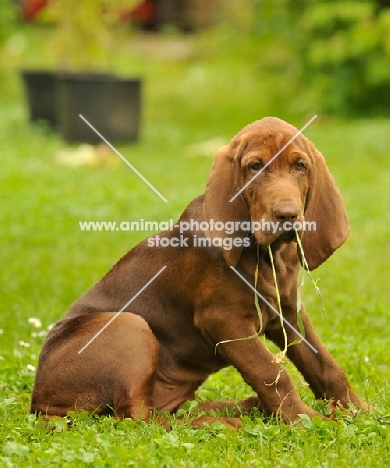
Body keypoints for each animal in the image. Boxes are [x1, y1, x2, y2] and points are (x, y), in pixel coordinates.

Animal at [31, 116, 368, 424]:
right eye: (255, 166)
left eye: (300, 166)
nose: (287, 215)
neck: (266, 255)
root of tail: (39, 404)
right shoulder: (223, 320)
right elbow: (271, 372)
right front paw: (307, 420)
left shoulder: (287, 311)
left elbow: (324, 364)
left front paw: (361, 410)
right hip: (130, 325)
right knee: (138, 417)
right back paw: (224, 422)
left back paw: (242, 409)